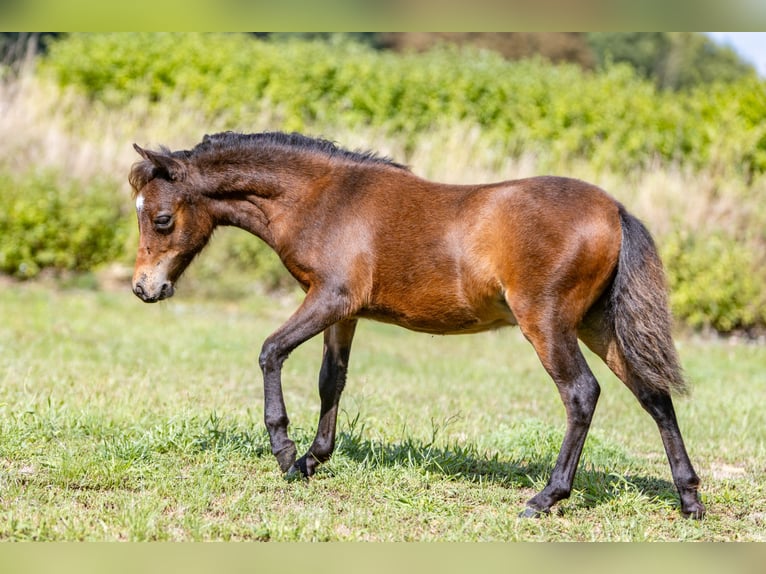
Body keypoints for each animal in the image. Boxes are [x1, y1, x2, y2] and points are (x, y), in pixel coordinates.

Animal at [130, 133, 708, 520]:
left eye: (161, 219)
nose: (144, 289)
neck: (323, 198)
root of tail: (615, 210)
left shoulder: (329, 298)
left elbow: (271, 351)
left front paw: (285, 452)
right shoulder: (344, 312)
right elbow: (330, 382)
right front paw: (314, 459)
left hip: (546, 324)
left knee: (582, 393)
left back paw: (546, 497)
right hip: (597, 325)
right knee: (654, 396)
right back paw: (689, 498)